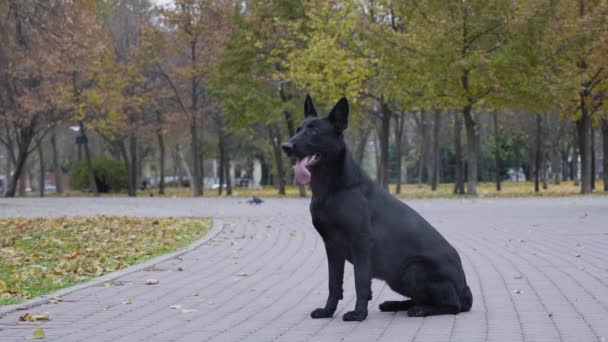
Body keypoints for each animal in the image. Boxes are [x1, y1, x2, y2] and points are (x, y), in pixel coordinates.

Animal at [282, 95, 472, 320]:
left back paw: (421, 310)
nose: (285, 146)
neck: (332, 189)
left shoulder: (361, 243)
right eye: (298, 129)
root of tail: (465, 288)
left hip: (412, 269)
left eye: (312, 132)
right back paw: (394, 304)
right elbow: (334, 284)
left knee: (451, 305)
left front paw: (358, 314)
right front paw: (328, 311)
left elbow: (360, 281)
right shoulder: (332, 246)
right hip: (397, 277)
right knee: (421, 298)